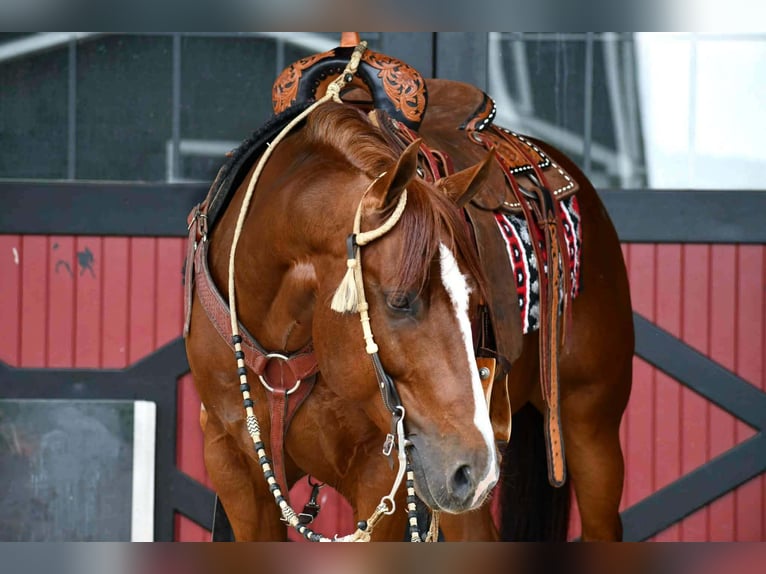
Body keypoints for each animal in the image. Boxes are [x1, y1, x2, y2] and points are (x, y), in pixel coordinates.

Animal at [184, 39, 633, 542]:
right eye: (401, 302)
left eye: (476, 304)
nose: (472, 468)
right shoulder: (235, 468)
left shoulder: (385, 477)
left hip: (586, 426)